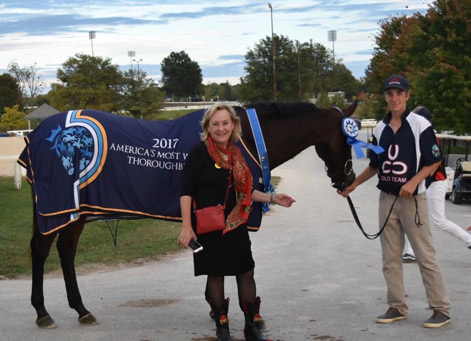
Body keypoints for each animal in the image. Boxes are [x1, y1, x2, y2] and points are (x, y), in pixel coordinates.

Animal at [18, 100, 358, 326]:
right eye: (348, 139)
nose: (348, 180)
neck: (248, 137)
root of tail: (34, 137)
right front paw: (223, 308)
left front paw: (215, 306)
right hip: (59, 208)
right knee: (42, 250)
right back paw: (42, 313)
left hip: (75, 212)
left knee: (65, 251)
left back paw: (81, 309)